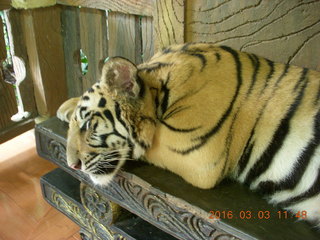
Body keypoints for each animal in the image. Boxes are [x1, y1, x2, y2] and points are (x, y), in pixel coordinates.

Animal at [57, 43, 320, 227]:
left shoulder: (200, 156)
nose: (72, 165)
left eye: (89, 125)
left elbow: (149, 142)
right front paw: (66, 107)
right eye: (78, 124)